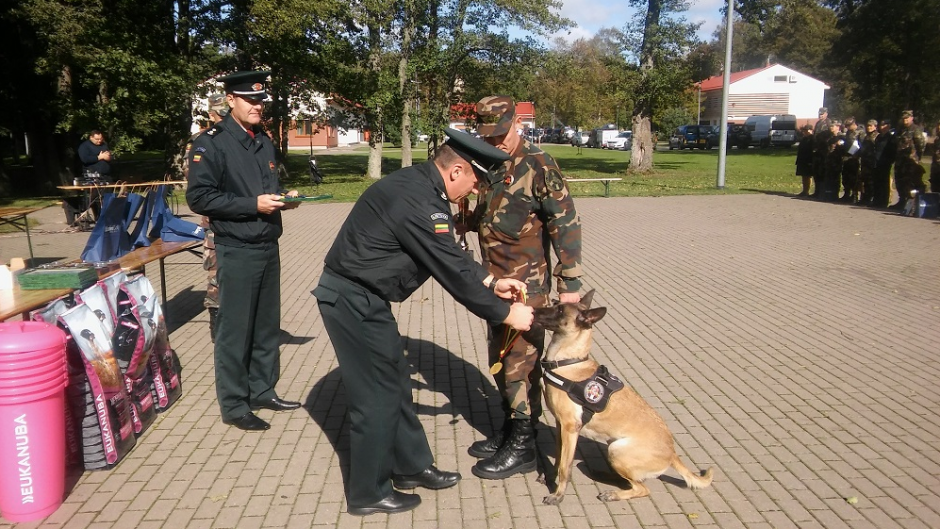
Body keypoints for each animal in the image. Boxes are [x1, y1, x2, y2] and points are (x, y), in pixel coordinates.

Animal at [536, 292, 712, 504]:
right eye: (555, 303)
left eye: (560, 310)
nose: (534, 309)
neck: (569, 361)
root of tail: (672, 454)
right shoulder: (561, 425)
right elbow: (558, 456)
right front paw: (550, 476)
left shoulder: (570, 428)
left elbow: (565, 466)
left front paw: (558, 494)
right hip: (614, 447)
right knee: (628, 481)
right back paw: (602, 475)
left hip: (617, 451)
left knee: (641, 488)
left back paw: (613, 493)